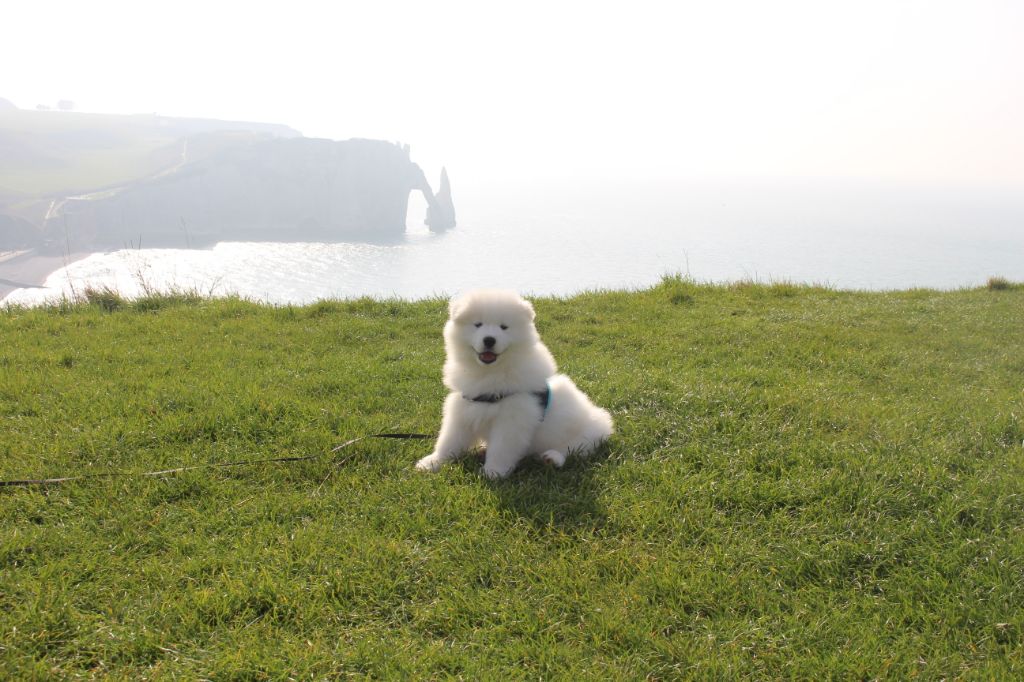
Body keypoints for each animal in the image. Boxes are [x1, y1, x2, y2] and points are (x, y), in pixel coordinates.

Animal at [413, 288, 610, 477]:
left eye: (504, 327)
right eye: (478, 324)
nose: (489, 339)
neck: (490, 372)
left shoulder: (512, 418)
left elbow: (501, 448)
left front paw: (493, 472)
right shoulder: (463, 408)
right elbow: (449, 440)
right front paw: (432, 462)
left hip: (586, 433)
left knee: (571, 449)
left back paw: (551, 458)